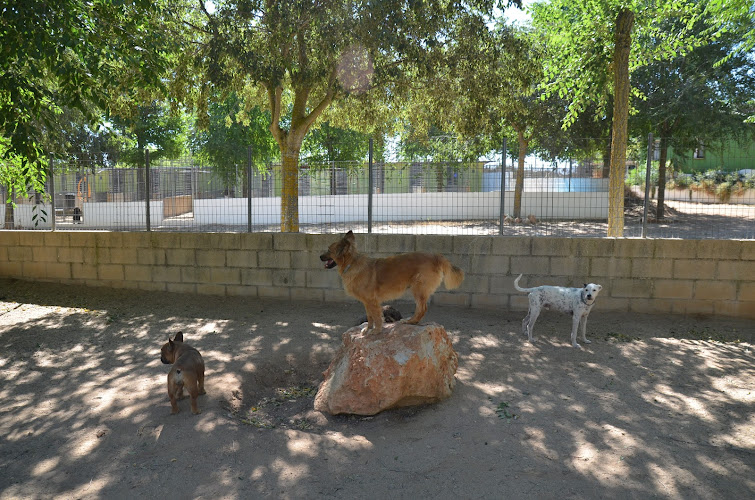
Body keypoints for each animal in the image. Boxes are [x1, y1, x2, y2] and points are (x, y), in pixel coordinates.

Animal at [320, 231, 466, 334]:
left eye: (329, 250)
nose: (319, 256)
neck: (352, 263)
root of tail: (436, 256)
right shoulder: (367, 302)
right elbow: (370, 317)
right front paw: (368, 329)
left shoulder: (372, 301)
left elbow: (377, 317)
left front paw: (376, 331)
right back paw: (412, 322)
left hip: (418, 289)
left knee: (422, 308)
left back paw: (411, 321)